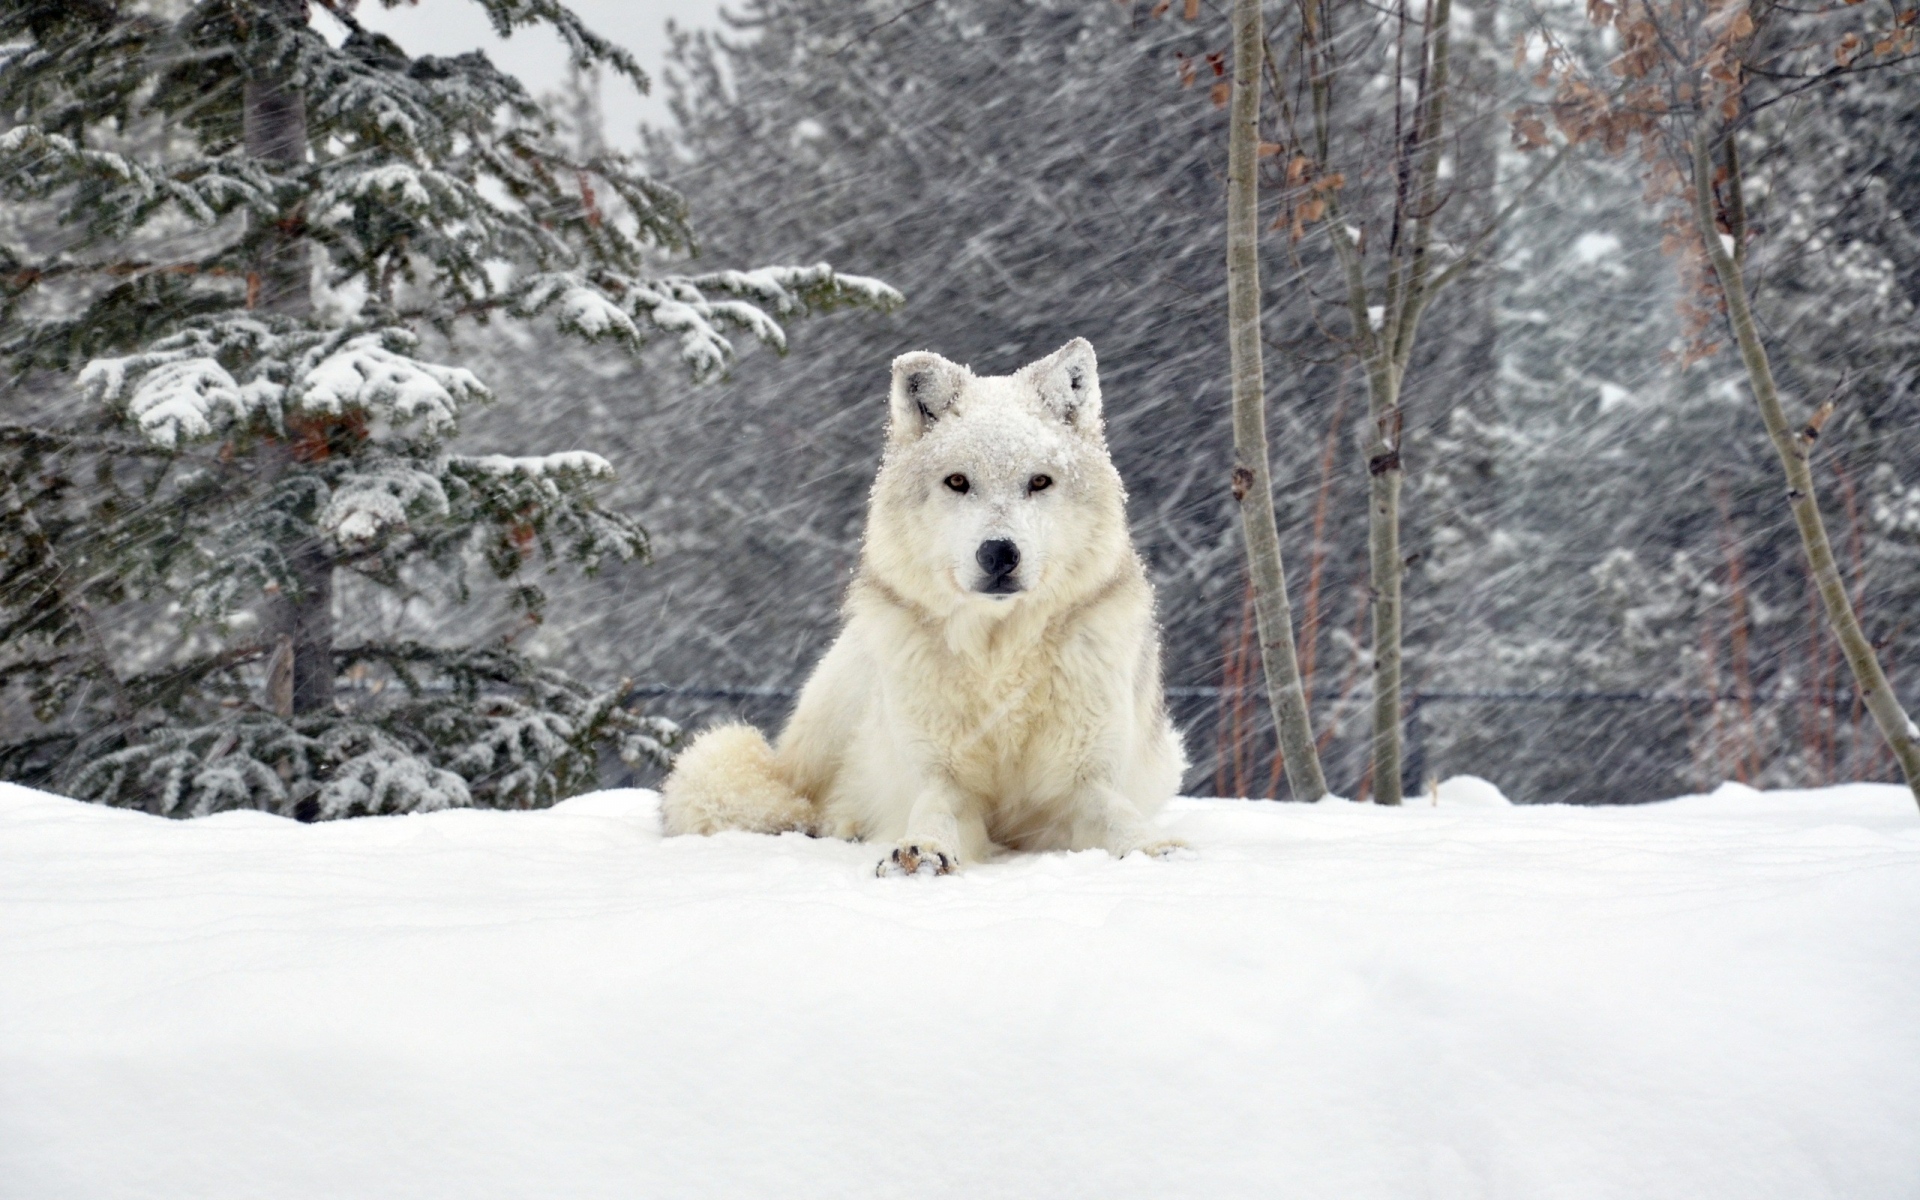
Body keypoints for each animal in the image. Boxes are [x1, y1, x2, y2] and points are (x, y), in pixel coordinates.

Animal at [659, 338, 1188, 875]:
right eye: (957, 482)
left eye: (1039, 482)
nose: (999, 553)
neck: (999, 659)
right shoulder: (940, 776)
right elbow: (933, 812)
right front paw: (923, 851)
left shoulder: (1086, 779)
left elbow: (1120, 814)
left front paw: (1153, 848)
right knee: (810, 800)